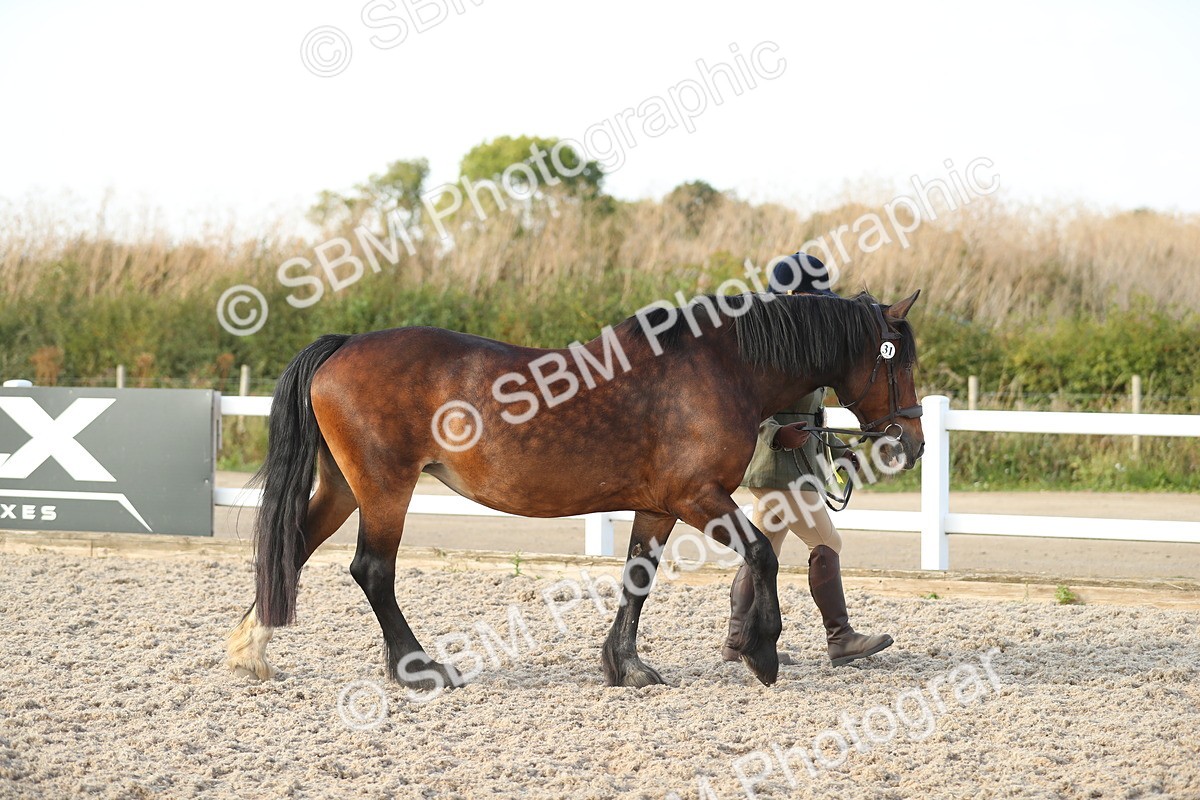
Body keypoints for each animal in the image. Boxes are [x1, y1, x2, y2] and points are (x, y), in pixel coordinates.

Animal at [226, 289, 924, 690]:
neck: (719, 368)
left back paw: (250, 651)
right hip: (385, 488)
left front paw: (626, 665)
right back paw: (417, 669)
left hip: (345, 489)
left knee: (291, 550)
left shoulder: (657, 505)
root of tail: (343, 346)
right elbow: (761, 555)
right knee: (371, 569)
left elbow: (637, 577)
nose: (909, 444)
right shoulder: (698, 497)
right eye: (898, 358)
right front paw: (762, 653)